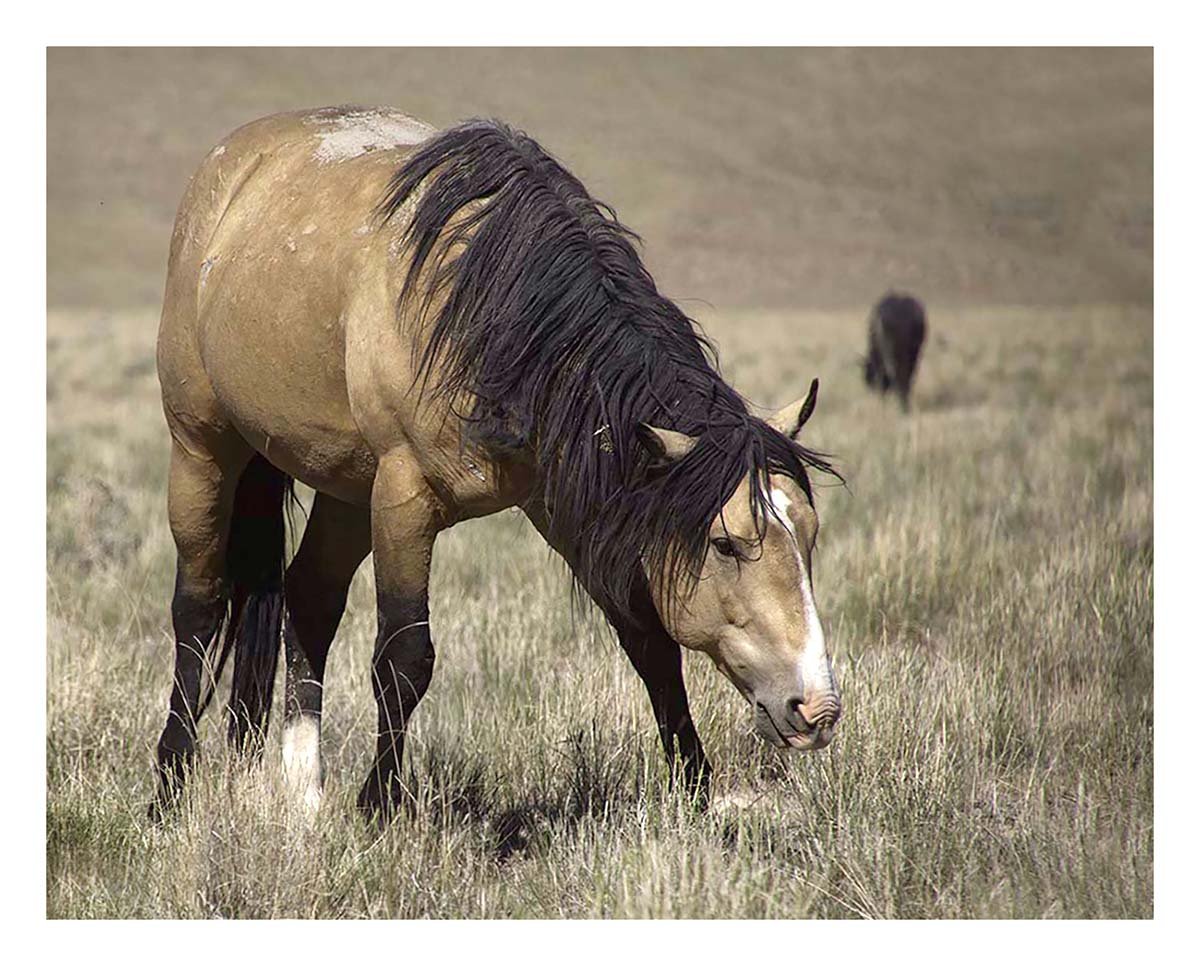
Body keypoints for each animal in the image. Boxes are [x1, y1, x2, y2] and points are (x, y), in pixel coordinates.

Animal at [151, 106, 842, 820]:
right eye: (727, 544)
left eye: (810, 536)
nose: (816, 710)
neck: (492, 314)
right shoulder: (403, 498)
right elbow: (405, 658)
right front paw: (379, 805)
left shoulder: (567, 505)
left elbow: (650, 644)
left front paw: (697, 788)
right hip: (203, 450)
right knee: (198, 610)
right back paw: (169, 787)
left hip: (342, 484)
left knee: (309, 599)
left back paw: (302, 795)